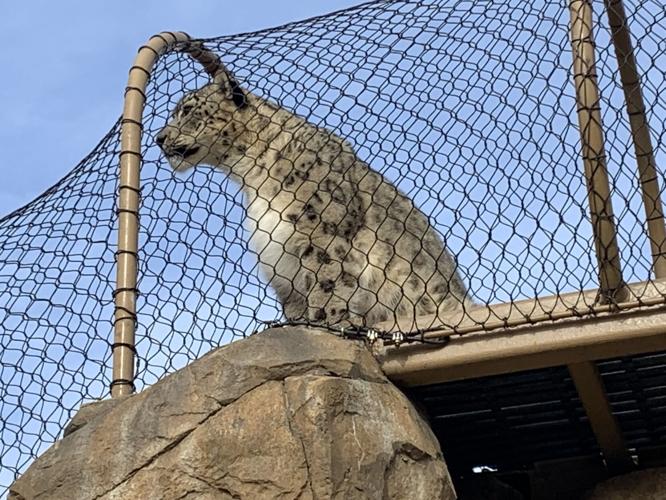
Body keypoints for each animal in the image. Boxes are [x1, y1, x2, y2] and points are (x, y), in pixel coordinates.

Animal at [156, 56, 471, 330]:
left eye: (187, 110)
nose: (159, 138)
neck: (252, 176)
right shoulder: (280, 261)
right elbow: (296, 300)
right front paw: (296, 323)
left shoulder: (319, 233)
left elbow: (326, 282)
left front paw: (324, 321)